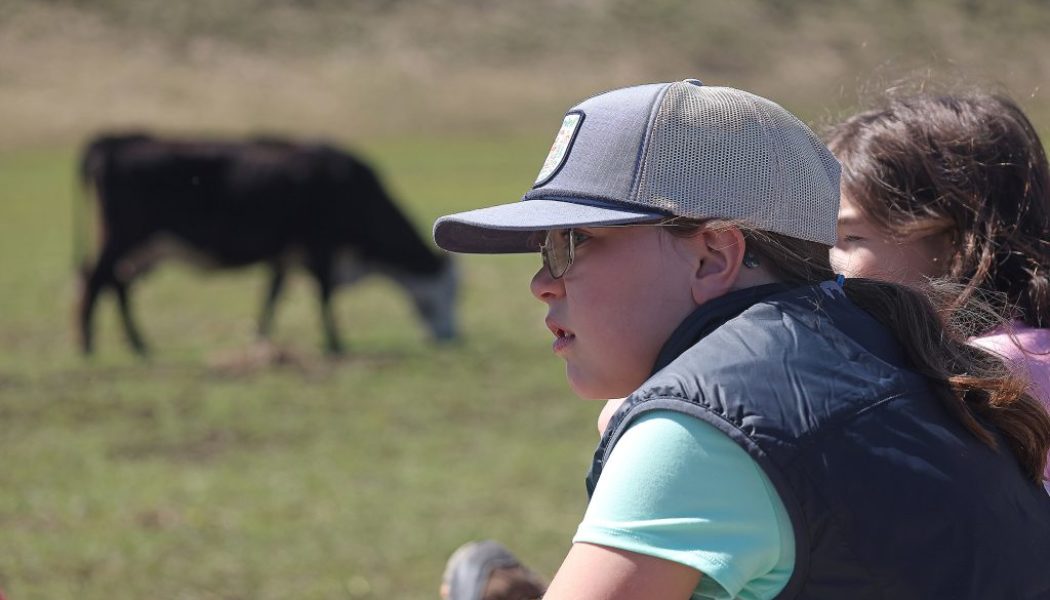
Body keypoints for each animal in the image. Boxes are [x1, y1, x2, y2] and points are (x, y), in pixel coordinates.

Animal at [79, 133, 457, 355]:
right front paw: (336, 344)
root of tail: (109, 146)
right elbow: (323, 294)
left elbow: (273, 295)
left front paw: (261, 337)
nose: (454, 337)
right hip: (123, 238)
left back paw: (137, 343)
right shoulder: (319, 245)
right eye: (452, 292)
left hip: (135, 248)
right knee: (97, 281)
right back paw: (90, 345)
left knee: (116, 284)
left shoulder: (287, 254)